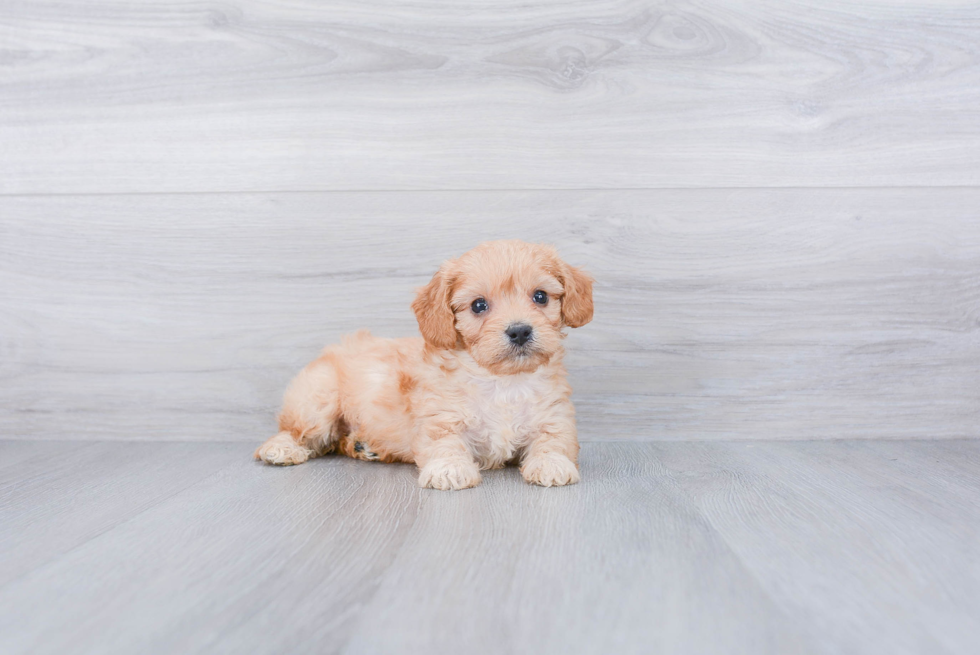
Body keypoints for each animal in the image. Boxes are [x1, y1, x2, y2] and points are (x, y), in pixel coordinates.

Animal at [255, 238, 588, 490]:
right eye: (478, 305)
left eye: (540, 296)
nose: (519, 331)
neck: (503, 381)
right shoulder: (440, 417)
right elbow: (445, 443)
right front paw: (449, 469)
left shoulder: (555, 417)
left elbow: (554, 441)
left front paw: (552, 463)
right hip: (316, 400)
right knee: (295, 430)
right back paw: (280, 448)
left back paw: (364, 446)